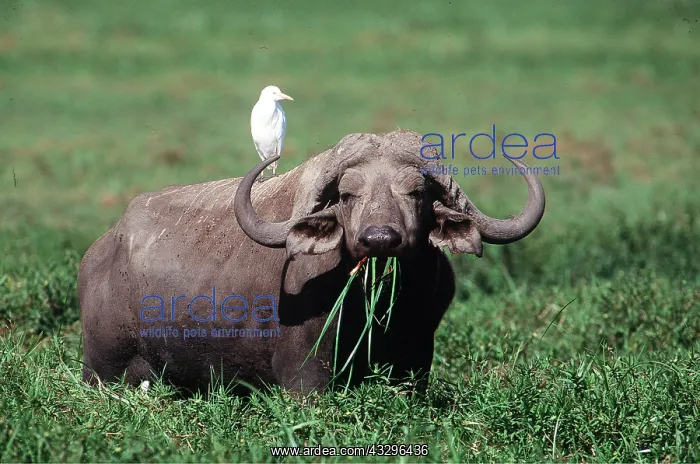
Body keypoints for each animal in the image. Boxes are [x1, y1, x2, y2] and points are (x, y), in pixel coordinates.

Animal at [78, 130, 545, 395]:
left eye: (417, 192)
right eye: (347, 194)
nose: (380, 238)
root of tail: (99, 252)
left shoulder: (417, 358)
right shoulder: (305, 375)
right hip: (104, 368)